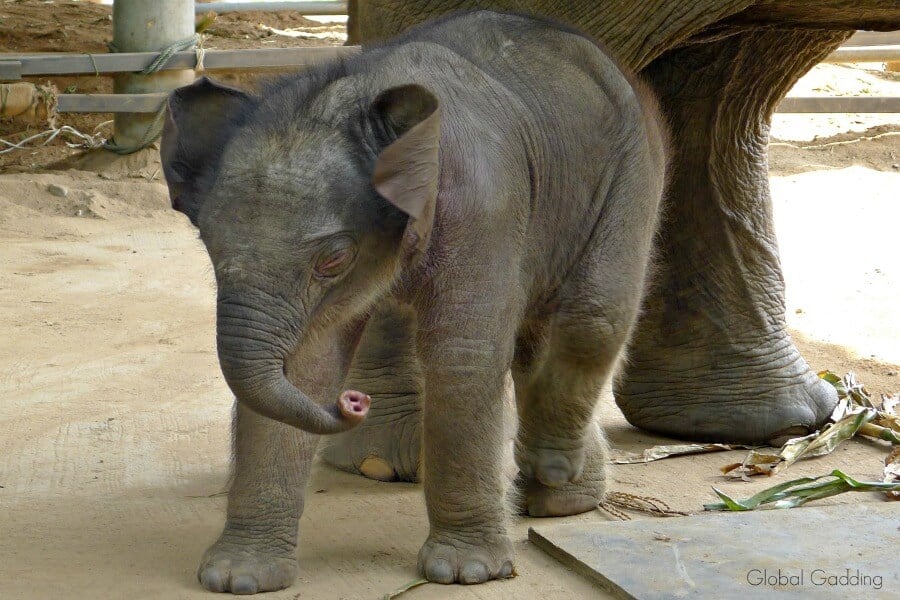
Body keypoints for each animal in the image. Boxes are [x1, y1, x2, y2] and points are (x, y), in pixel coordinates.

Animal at [162, 11, 666, 592]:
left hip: (634, 164)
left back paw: (552, 476)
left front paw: (467, 572)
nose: (352, 402)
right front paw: (238, 578)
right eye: (208, 242)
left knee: (594, 315)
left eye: (333, 258)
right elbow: (307, 367)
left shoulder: (484, 201)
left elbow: (462, 355)